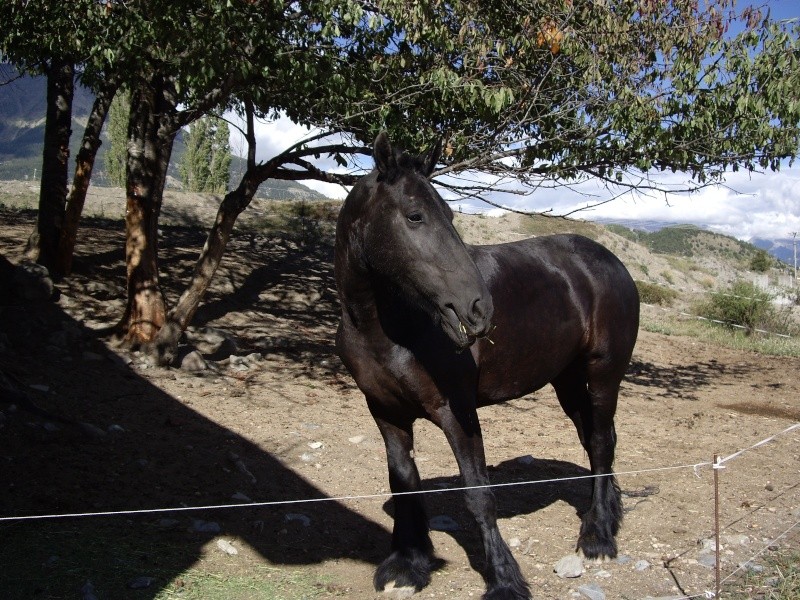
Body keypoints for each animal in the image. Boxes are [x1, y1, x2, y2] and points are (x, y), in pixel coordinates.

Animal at [334, 132, 640, 600]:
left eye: (450, 214)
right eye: (415, 216)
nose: (479, 308)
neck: (386, 329)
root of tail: (612, 263)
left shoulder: (457, 413)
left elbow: (479, 495)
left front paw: (504, 580)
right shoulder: (386, 413)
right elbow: (403, 483)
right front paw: (408, 564)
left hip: (604, 373)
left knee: (603, 442)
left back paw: (598, 537)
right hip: (568, 381)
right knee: (594, 441)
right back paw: (603, 513)